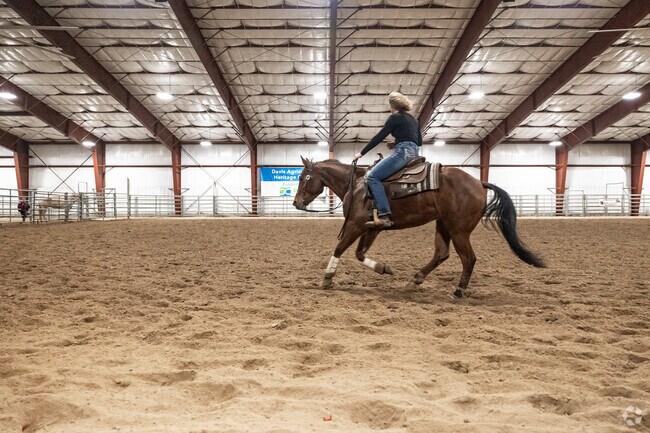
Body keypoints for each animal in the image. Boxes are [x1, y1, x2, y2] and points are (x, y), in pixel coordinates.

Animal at [293, 157, 545, 298]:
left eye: (303, 177)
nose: (296, 203)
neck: (355, 184)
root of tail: (479, 182)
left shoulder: (356, 224)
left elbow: (340, 248)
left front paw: (327, 277)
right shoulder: (372, 227)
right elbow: (359, 253)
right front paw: (384, 268)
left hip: (459, 229)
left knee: (468, 258)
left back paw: (459, 290)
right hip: (443, 224)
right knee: (442, 254)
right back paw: (415, 280)